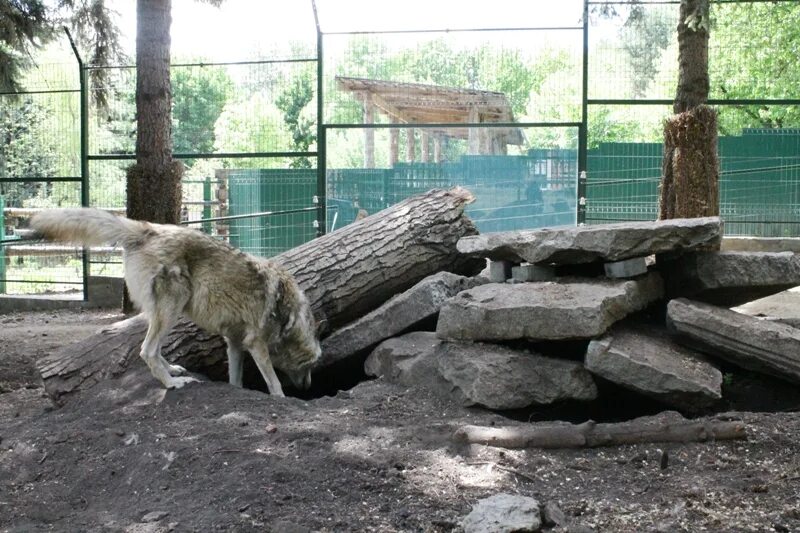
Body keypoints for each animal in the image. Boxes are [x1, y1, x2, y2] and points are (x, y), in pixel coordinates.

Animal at [28, 208, 322, 394]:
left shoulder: (235, 344)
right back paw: (171, 384)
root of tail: (147, 228)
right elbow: (274, 384)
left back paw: (173, 371)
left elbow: (235, 380)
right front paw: (280, 398)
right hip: (173, 307)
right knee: (146, 350)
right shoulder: (256, 344)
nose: (309, 386)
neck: (288, 318)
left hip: (165, 311)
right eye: (309, 367)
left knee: (153, 349)